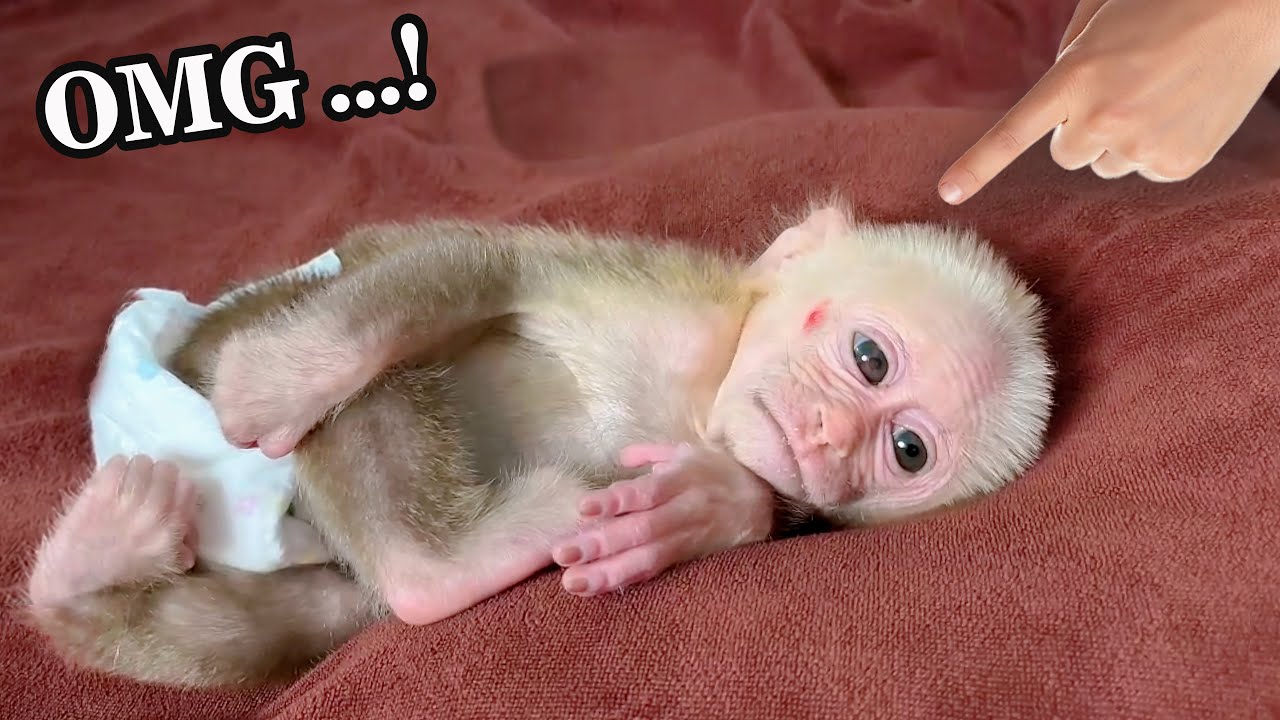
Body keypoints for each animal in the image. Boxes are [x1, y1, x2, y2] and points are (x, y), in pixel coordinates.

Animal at [22, 201, 1054, 688]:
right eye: (869, 358)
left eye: (907, 452)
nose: (832, 437)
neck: (699, 398)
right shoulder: (657, 287)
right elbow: (467, 261)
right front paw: (276, 376)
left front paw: (711, 508)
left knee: (326, 613)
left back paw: (90, 566)